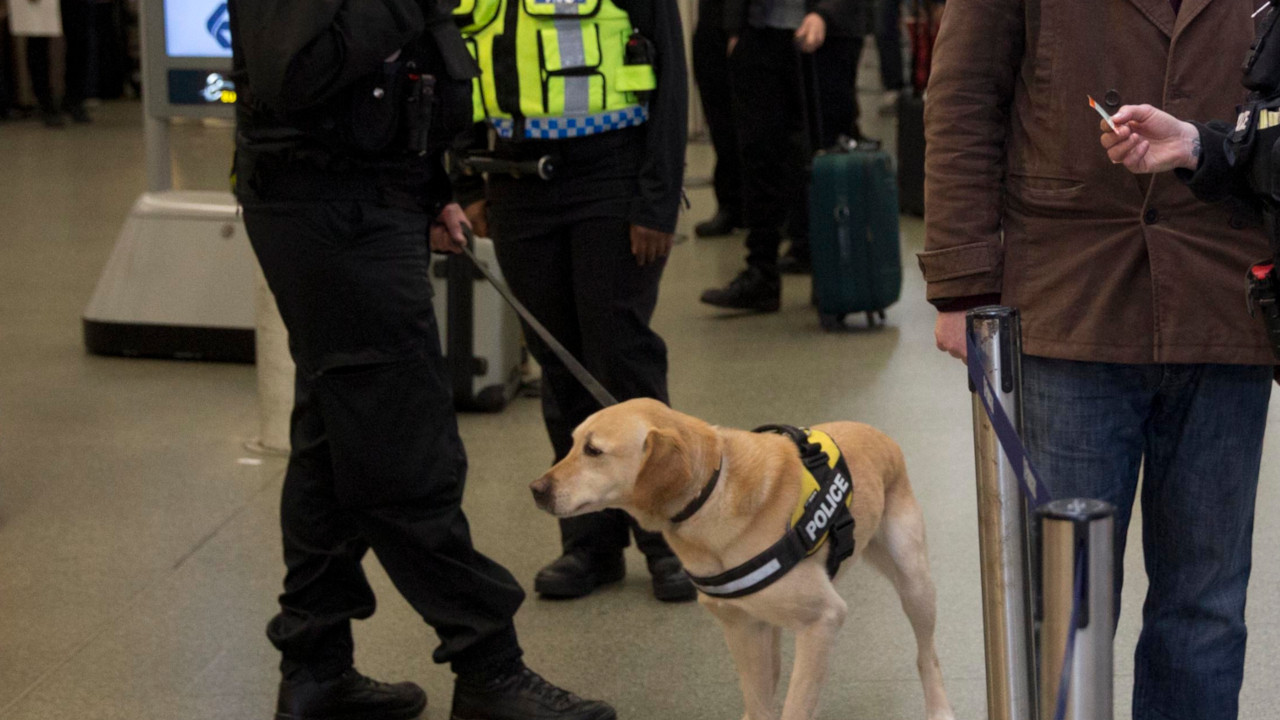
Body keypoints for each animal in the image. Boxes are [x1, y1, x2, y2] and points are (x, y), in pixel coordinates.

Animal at [524, 394, 957, 717]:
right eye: (571, 443)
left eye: (593, 451)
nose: (536, 489)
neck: (711, 490)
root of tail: (876, 433)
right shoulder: (741, 627)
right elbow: (760, 701)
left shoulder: (822, 620)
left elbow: (795, 706)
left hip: (914, 582)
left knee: (928, 656)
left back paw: (939, 708)